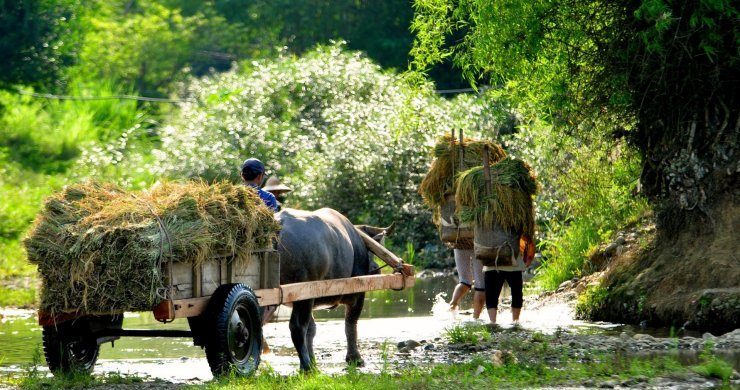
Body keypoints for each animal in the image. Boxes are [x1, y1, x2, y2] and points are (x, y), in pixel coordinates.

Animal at [270, 207, 394, 372]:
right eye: (371, 252)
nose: (376, 269)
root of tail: (279, 224)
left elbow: (312, 329)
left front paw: (313, 359)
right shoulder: (357, 294)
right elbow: (351, 323)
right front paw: (355, 358)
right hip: (304, 295)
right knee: (297, 327)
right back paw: (306, 366)